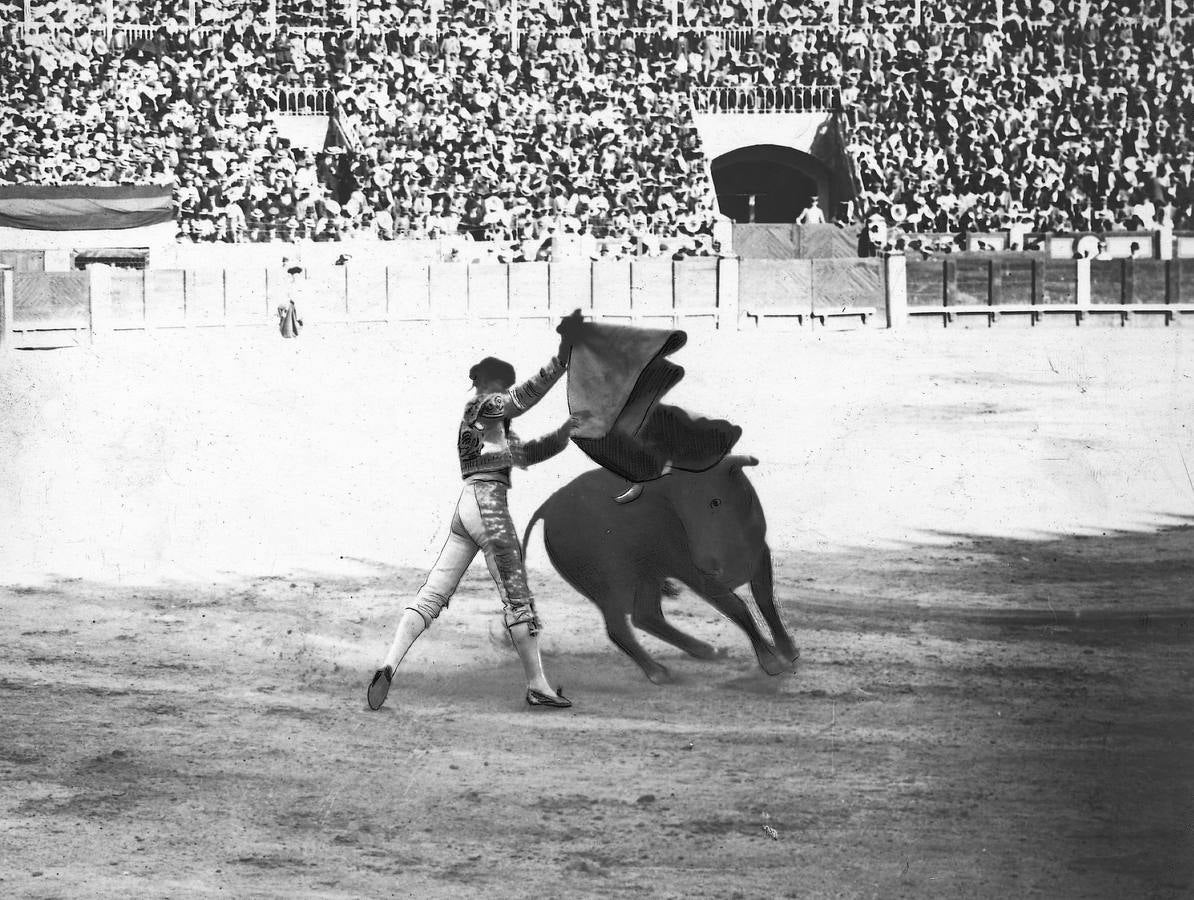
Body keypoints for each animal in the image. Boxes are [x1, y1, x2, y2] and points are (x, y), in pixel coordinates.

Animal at [520, 455, 792, 677]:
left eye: (715, 502)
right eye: (679, 509)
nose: (706, 561)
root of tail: (548, 507)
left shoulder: (759, 556)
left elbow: (765, 599)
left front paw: (788, 650)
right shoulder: (695, 574)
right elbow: (738, 607)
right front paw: (771, 662)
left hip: (647, 576)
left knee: (645, 615)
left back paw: (705, 650)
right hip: (611, 584)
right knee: (619, 626)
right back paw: (658, 672)